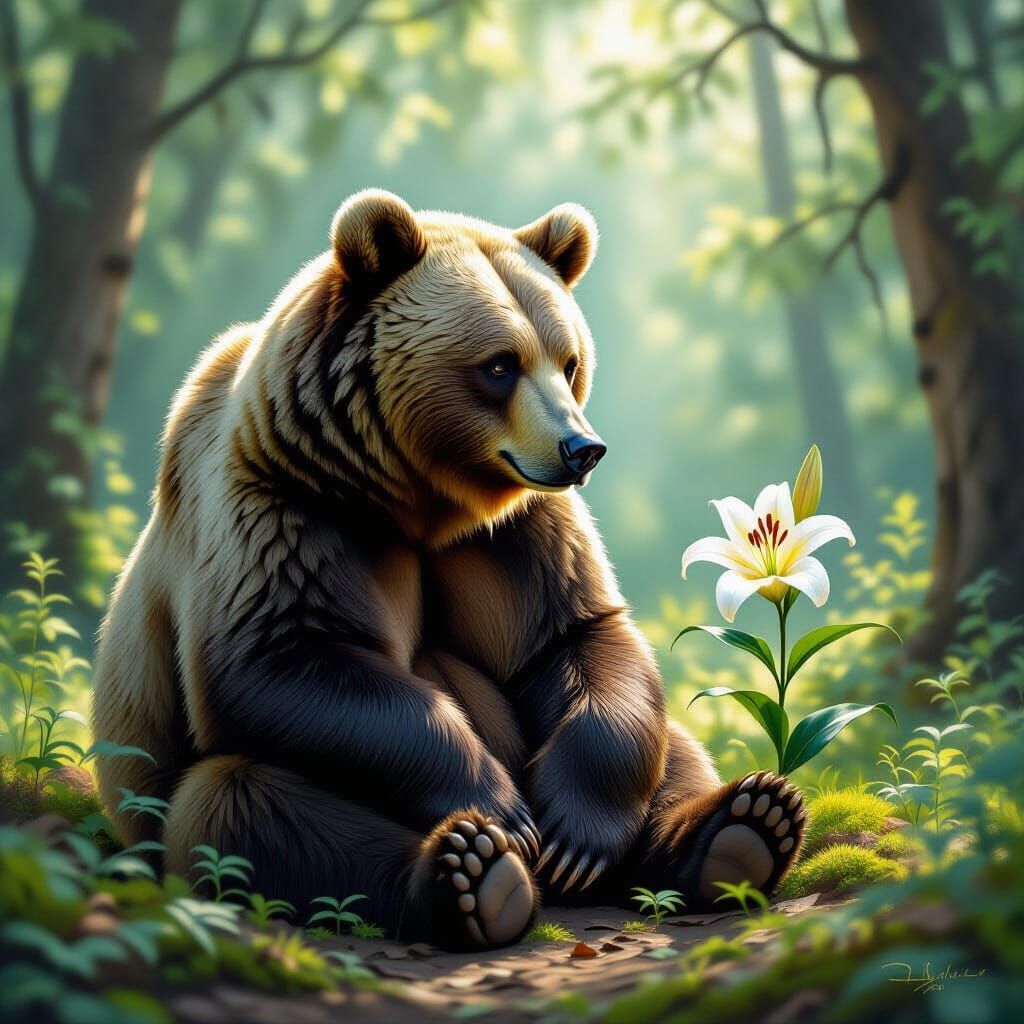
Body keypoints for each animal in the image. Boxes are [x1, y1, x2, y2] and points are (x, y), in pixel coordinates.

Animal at [92, 190, 804, 951]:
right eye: (500, 365)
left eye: (568, 361)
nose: (582, 448)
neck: (414, 497)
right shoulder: (281, 502)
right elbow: (283, 657)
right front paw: (503, 811)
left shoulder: (515, 533)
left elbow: (575, 636)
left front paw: (575, 836)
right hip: (164, 796)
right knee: (237, 807)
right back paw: (476, 873)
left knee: (669, 743)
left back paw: (742, 827)